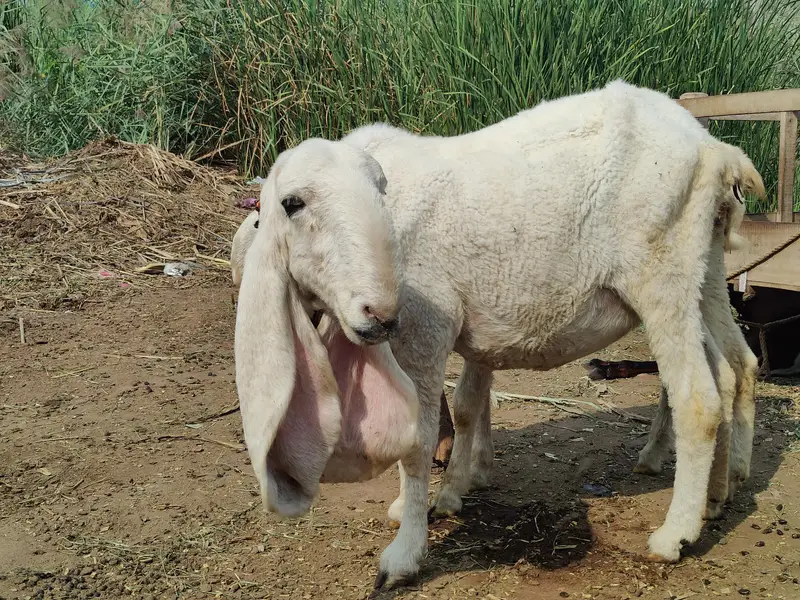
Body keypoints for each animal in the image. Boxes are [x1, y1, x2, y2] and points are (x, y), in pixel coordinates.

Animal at [233, 79, 764, 592]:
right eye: (292, 204)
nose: (377, 313)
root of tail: (712, 147)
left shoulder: (426, 325)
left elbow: (419, 439)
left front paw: (406, 552)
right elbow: (467, 405)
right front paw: (446, 492)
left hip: (661, 272)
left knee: (697, 399)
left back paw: (675, 534)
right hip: (705, 268)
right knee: (734, 367)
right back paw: (719, 492)